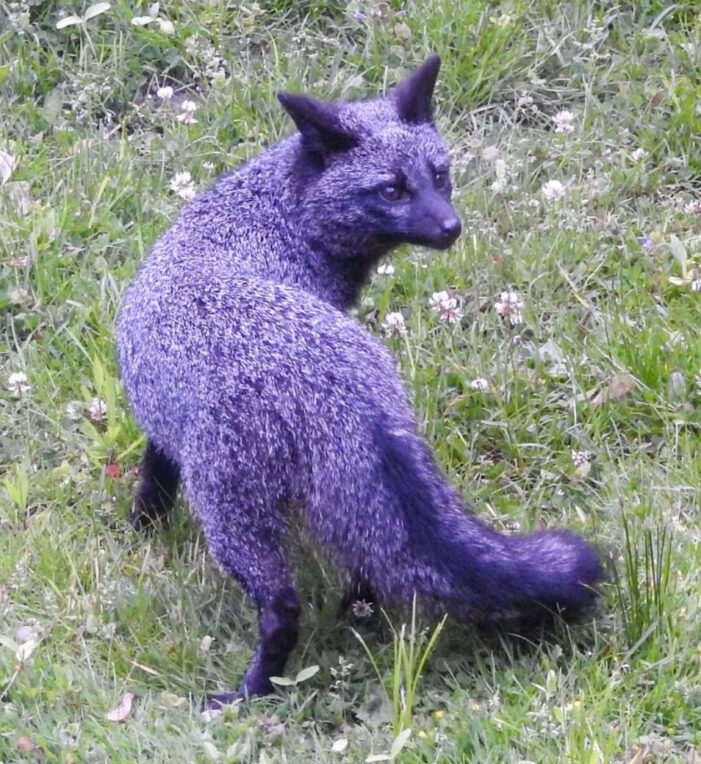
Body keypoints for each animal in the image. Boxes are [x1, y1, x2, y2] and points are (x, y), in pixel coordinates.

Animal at [117, 55, 602, 705]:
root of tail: (336, 383)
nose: (451, 228)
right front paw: (143, 529)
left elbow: (154, 476)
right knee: (372, 560)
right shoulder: (165, 426)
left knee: (283, 606)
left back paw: (251, 691)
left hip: (231, 514)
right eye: (392, 189)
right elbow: (153, 477)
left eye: (440, 176)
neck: (269, 225)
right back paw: (355, 617)